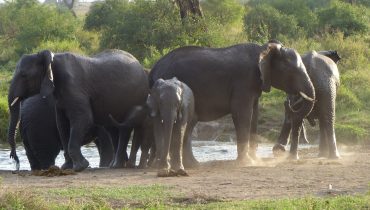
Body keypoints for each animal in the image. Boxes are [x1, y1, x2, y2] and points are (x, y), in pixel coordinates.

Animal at [8, 49, 149, 172]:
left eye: (23, 75)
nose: (14, 160)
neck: (53, 58)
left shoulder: (73, 87)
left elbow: (84, 118)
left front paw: (81, 167)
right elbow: (62, 124)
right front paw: (68, 168)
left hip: (133, 97)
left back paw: (115, 166)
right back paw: (116, 165)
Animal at [147, 41, 316, 166]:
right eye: (292, 71)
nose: (290, 102)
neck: (264, 49)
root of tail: (153, 69)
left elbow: (254, 113)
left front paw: (255, 160)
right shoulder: (243, 82)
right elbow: (242, 112)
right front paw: (247, 162)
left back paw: (193, 165)